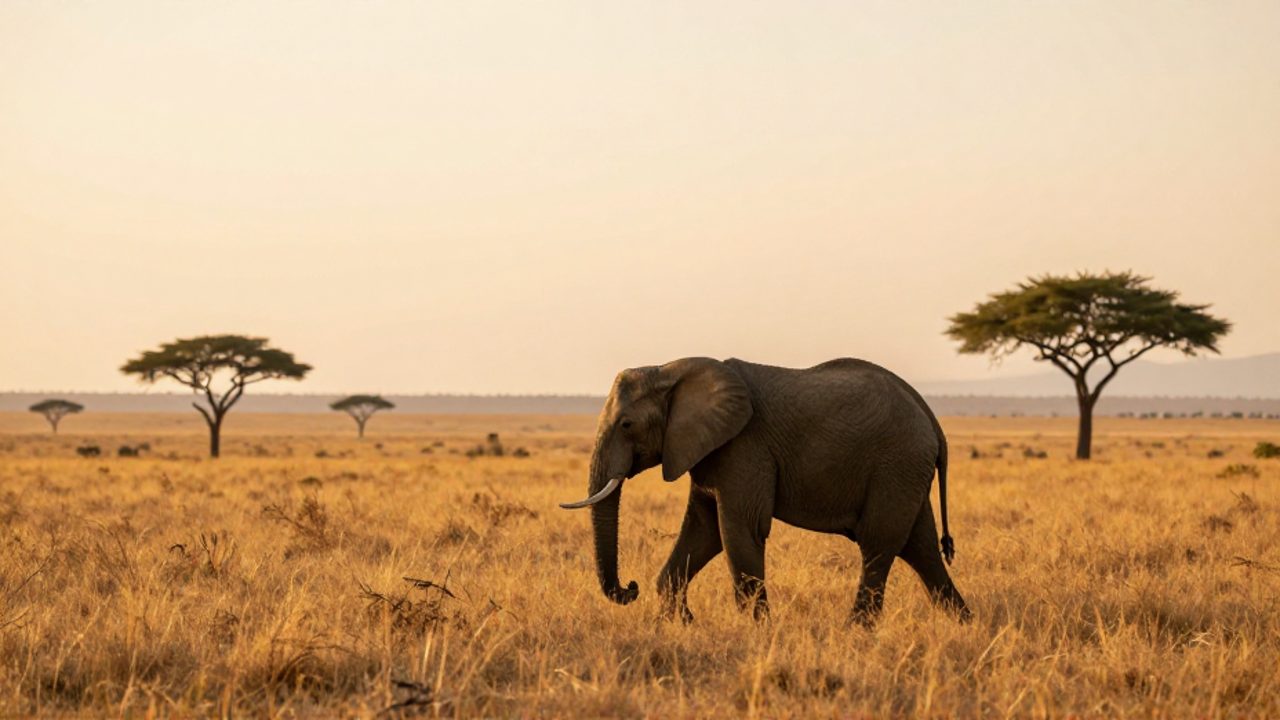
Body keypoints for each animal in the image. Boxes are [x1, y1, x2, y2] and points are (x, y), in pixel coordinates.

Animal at [560, 357, 969, 626]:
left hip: (896, 464)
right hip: (906, 471)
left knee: (879, 545)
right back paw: (964, 624)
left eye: (626, 424)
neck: (671, 368)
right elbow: (703, 530)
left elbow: (740, 529)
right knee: (920, 548)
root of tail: (932, 420)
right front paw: (683, 624)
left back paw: (856, 632)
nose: (630, 587)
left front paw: (757, 632)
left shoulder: (744, 446)